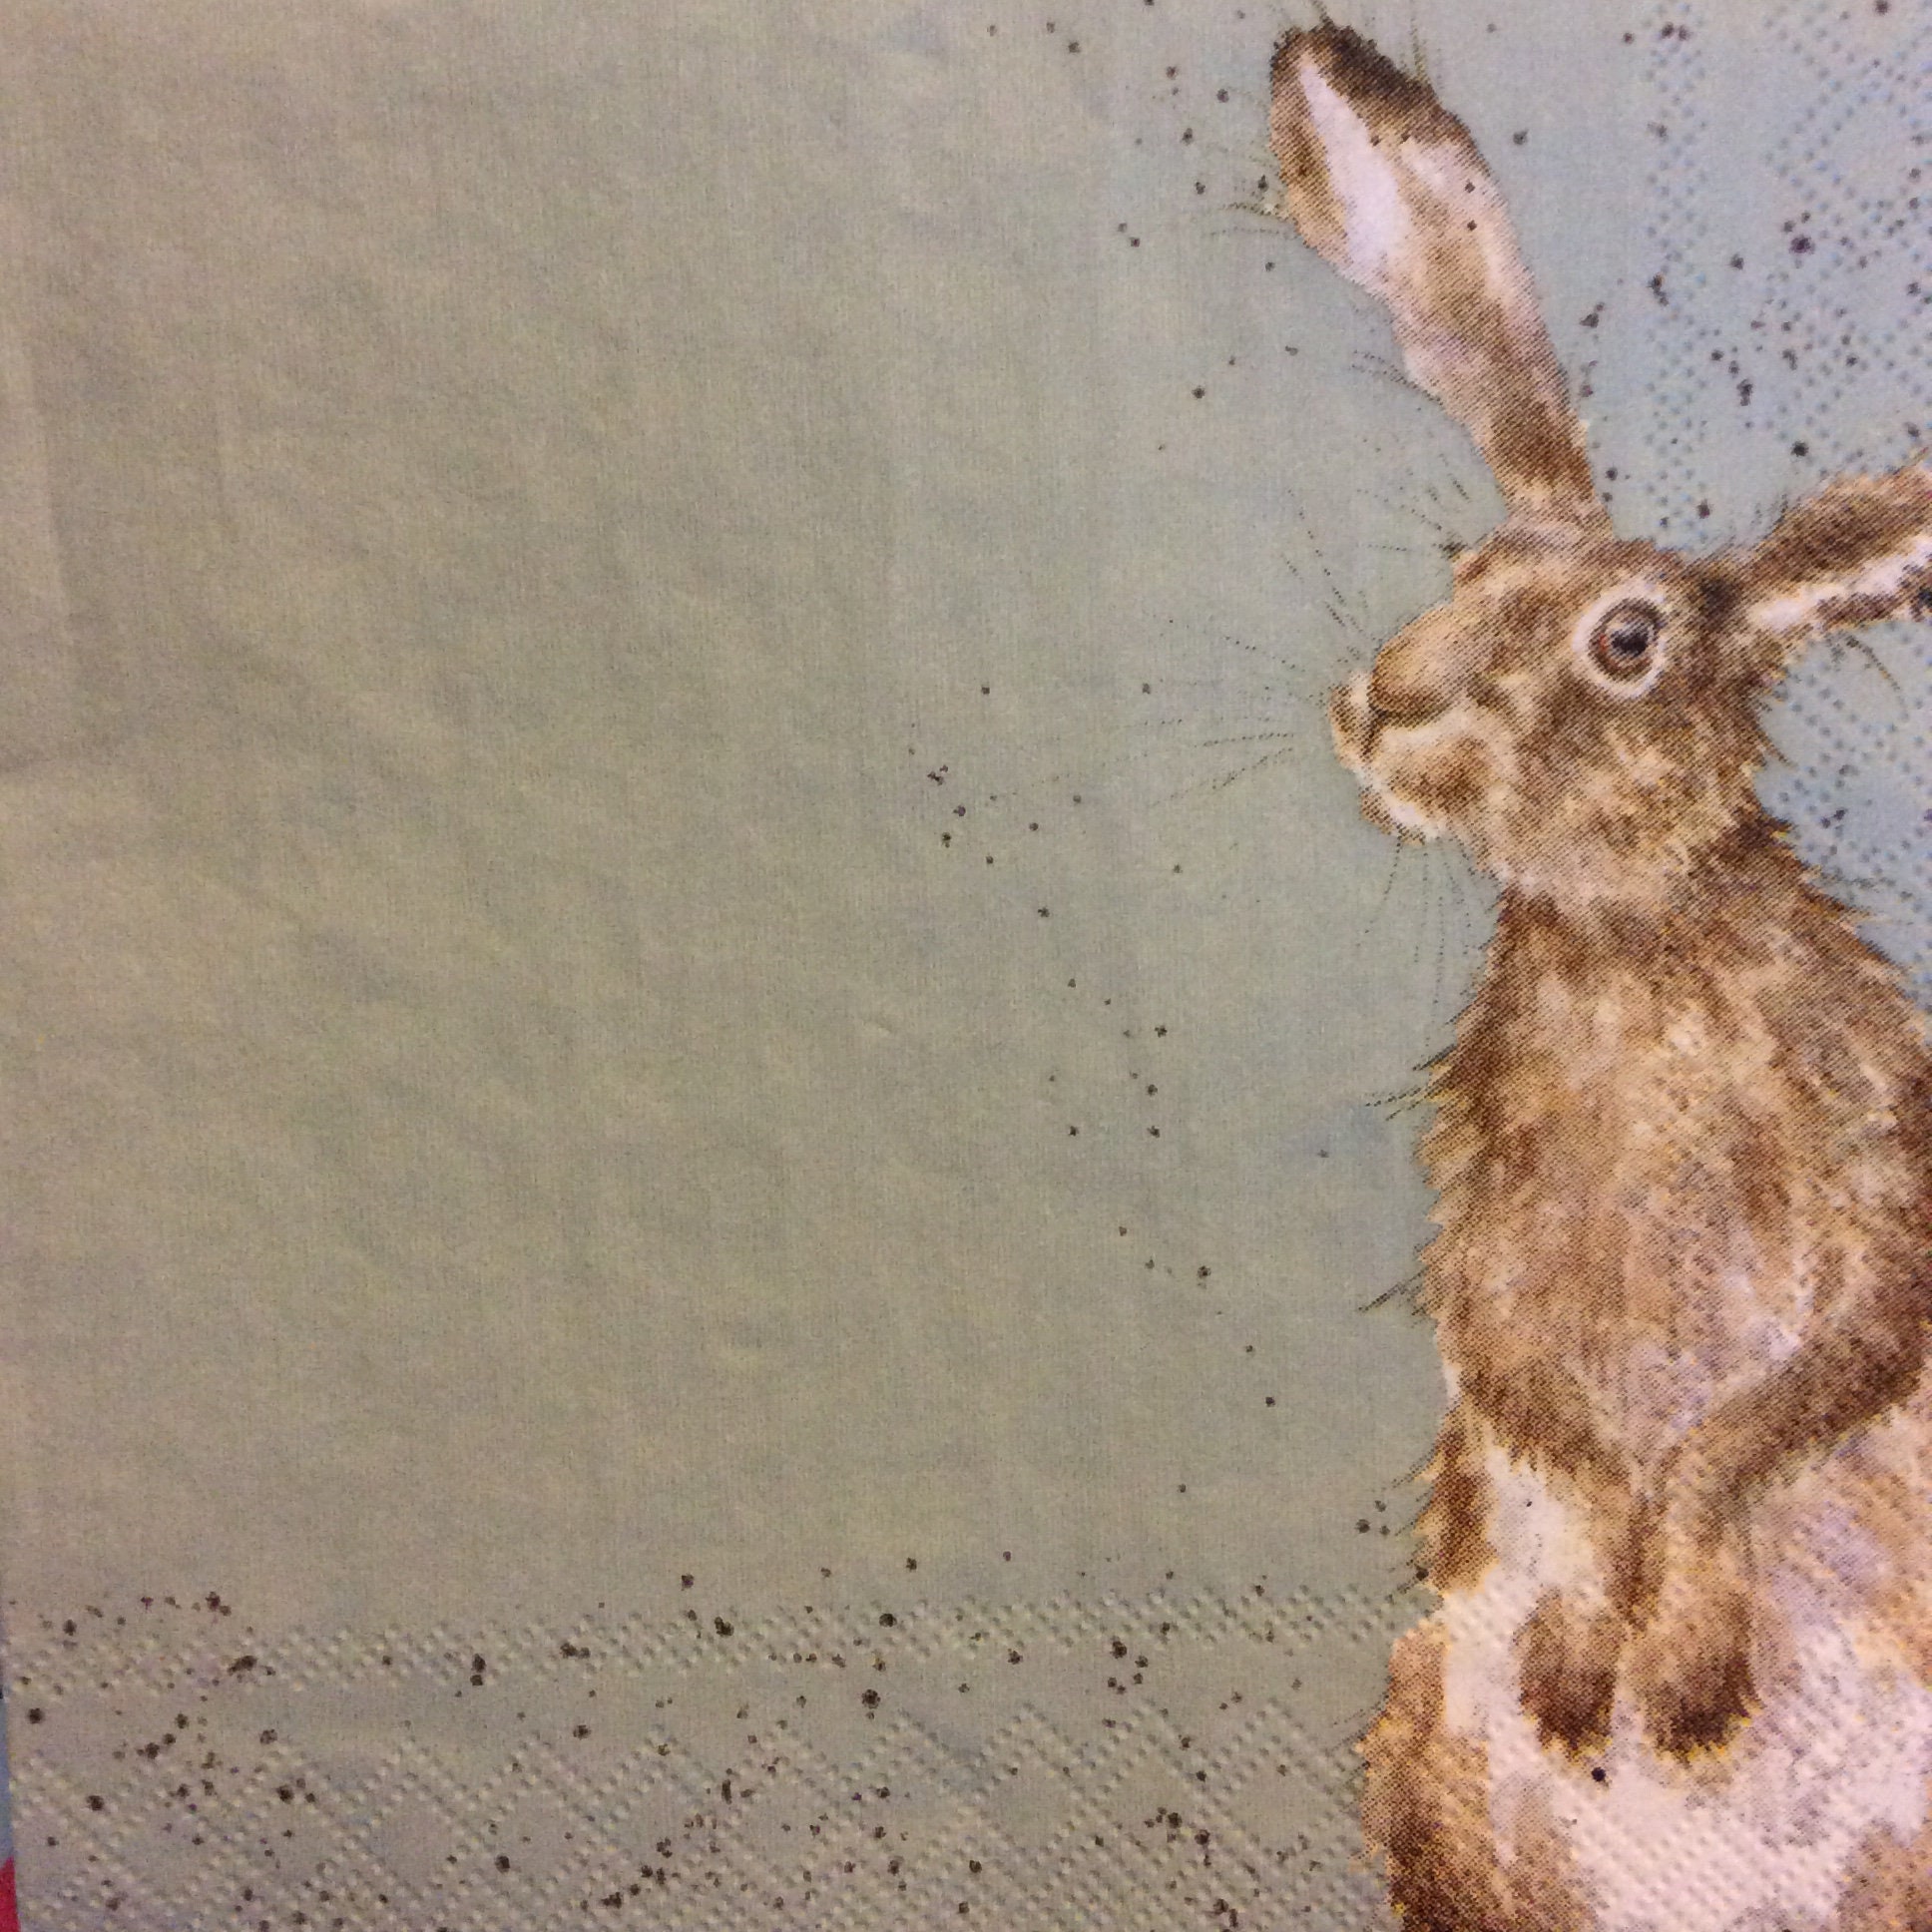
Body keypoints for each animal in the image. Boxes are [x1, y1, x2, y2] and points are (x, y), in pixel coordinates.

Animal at [1266, 23, 1932, 1932]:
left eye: (1625, 642)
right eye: (1465, 567)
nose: (1384, 708)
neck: (1631, 937)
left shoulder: (1882, 1164)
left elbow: (1782, 1401)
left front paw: (1680, 1670)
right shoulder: (1489, 1219)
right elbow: (1532, 1403)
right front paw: (1590, 1659)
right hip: (1429, 1749)